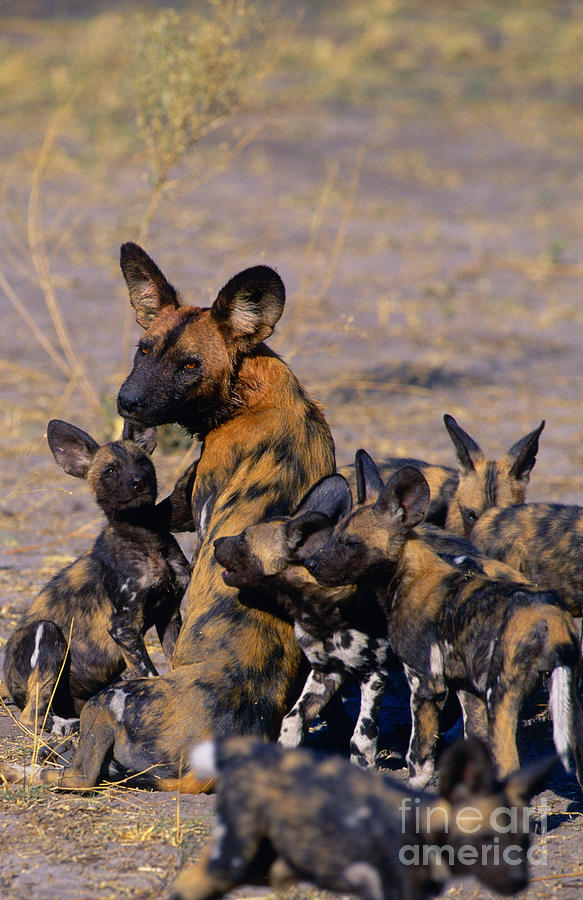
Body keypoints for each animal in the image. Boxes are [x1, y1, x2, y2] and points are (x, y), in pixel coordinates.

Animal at [2, 418, 189, 736]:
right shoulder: (124, 628)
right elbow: (151, 674)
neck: (145, 537)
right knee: (33, 716)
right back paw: (65, 728)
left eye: (142, 461)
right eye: (110, 471)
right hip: (46, 632)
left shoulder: (169, 614)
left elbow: (177, 665)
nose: (139, 480)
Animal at [171, 736, 556, 900]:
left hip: (268, 866)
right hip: (235, 860)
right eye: (486, 840)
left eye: (524, 843)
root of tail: (248, 753)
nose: (519, 881)